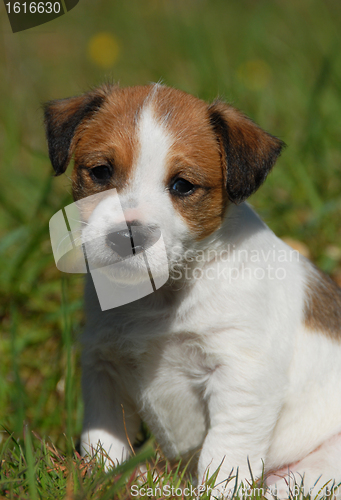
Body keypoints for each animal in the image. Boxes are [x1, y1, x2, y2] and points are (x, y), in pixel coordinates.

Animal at [43, 84, 340, 498]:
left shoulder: (242, 377)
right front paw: (100, 480)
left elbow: (224, 454)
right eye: (101, 172)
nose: (126, 237)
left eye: (182, 185)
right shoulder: (104, 368)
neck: (162, 297)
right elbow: (104, 441)